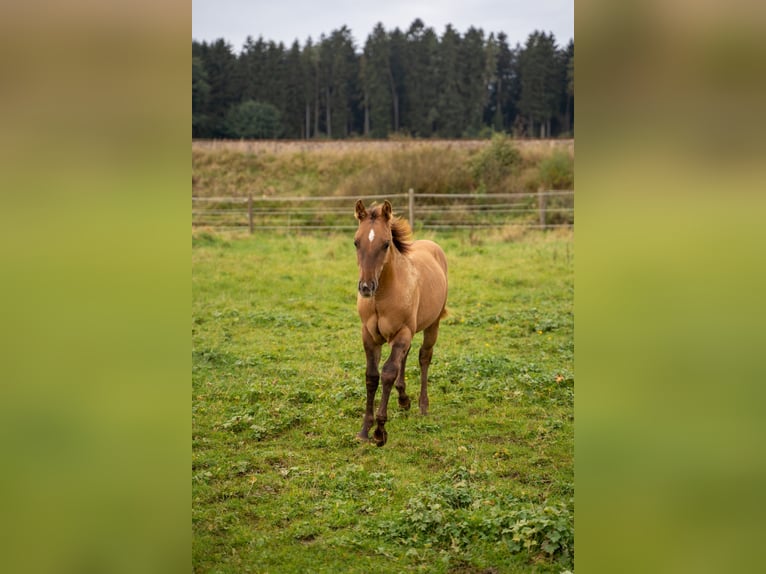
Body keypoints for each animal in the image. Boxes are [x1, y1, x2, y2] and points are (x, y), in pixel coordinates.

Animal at [353, 199, 448, 447]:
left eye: (386, 244)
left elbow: (387, 373)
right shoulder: (369, 336)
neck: (383, 295)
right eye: (356, 242)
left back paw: (423, 406)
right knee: (405, 356)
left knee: (424, 357)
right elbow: (372, 376)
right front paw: (364, 430)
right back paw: (404, 399)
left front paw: (380, 431)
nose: (366, 287)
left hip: (431, 325)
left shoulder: (402, 332)